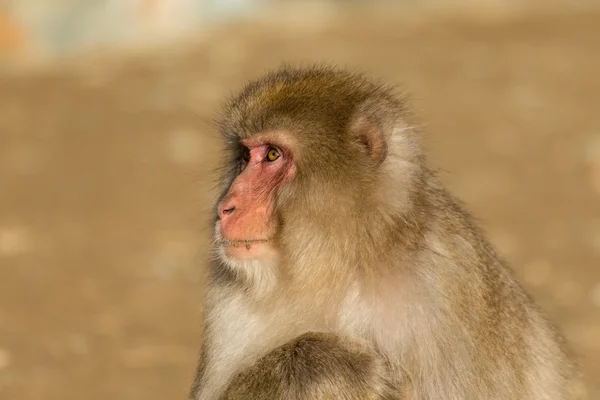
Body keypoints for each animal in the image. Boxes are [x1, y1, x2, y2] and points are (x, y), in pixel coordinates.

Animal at [189, 64, 584, 398]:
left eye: (272, 155)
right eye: (244, 157)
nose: (225, 207)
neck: (337, 264)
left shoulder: (446, 285)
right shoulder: (229, 297)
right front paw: (325, 363)